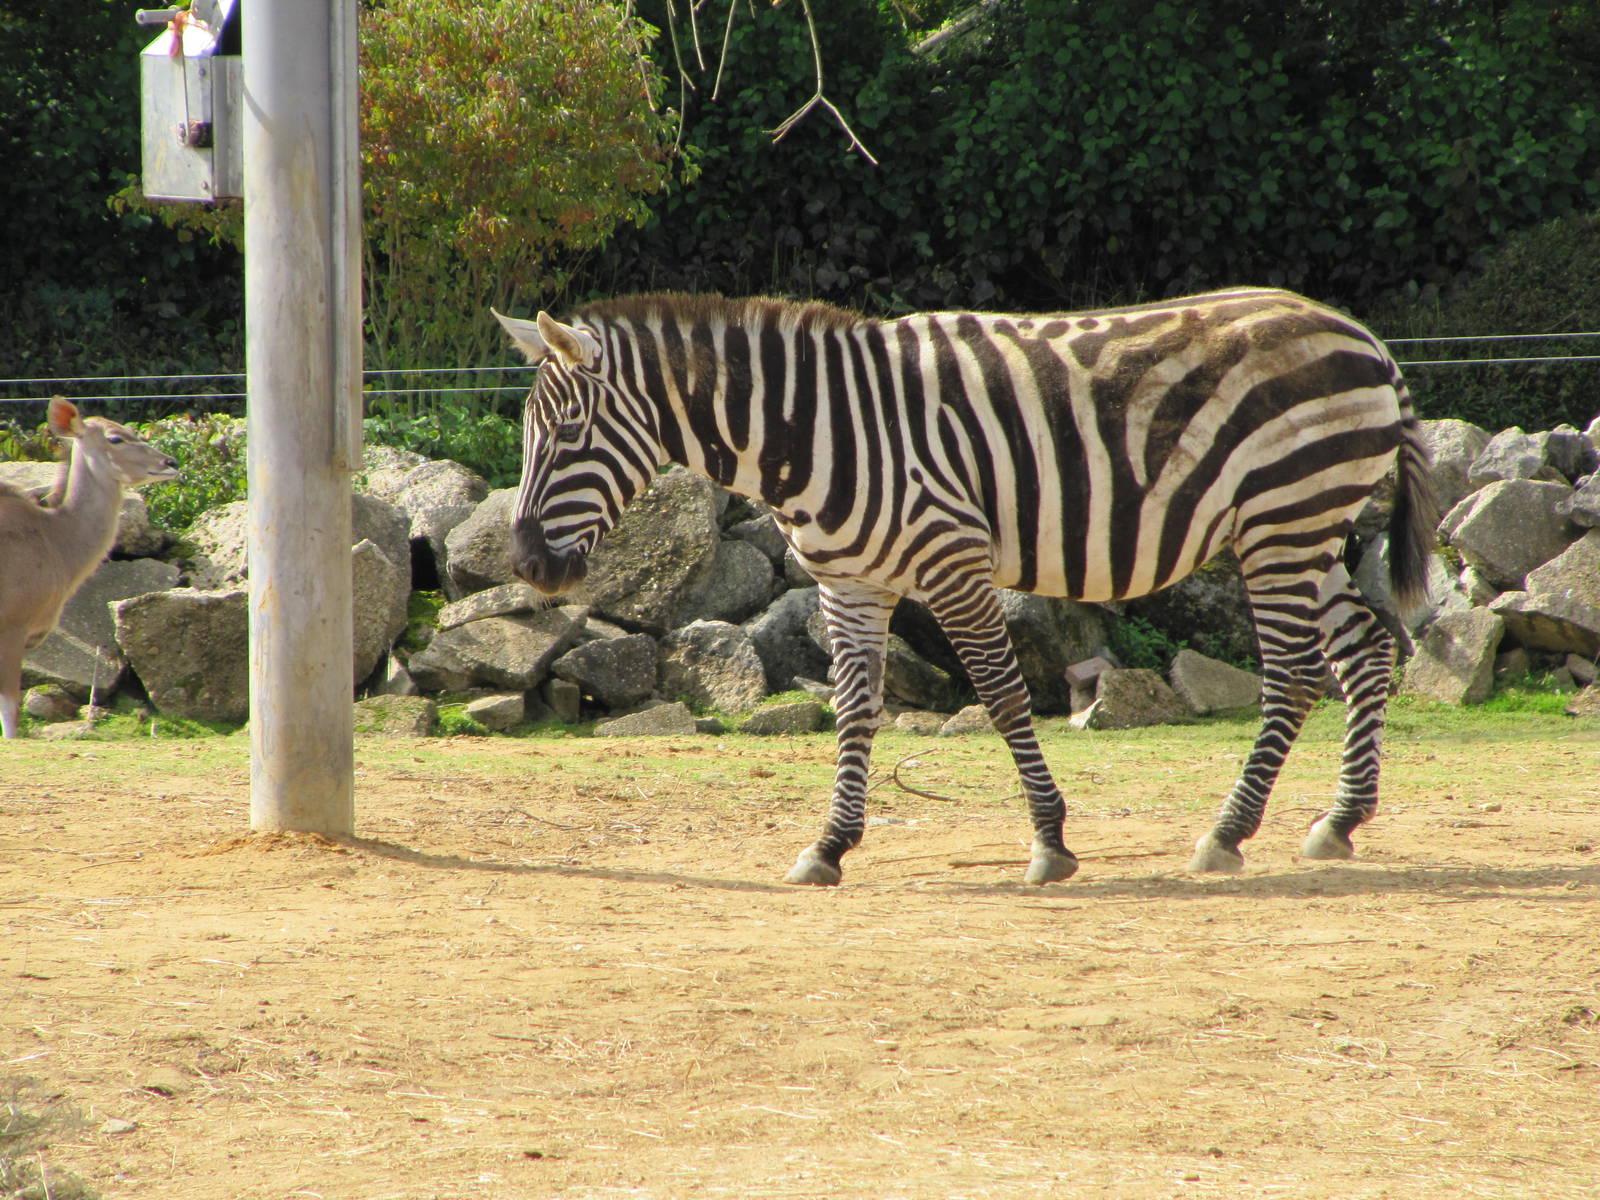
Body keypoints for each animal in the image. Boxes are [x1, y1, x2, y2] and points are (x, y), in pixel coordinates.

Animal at [493, 287, 1436, 886]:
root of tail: (1362, 338)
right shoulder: (849, 584)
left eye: (568, 432)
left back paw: (1228, 832)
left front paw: (1051, 842)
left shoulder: (952, 563)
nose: (529, 569)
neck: (817, 430)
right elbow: (854, 708)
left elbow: (1002, 693)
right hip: (1304, 529)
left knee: (1294, 675)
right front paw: (829, 847)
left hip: (1284, 517)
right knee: (1364, 650)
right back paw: (1340, 821)